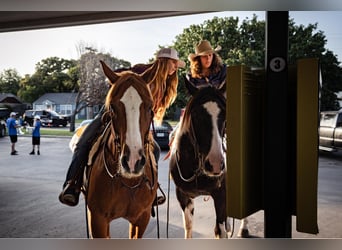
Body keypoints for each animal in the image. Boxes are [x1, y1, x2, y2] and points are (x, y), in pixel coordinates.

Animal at [83, 61, 158, 238]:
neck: (128, 182)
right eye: (112, 107)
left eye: (150, 106)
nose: (133, 161)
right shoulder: (97, 219)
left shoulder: (141, 218)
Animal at [169, 78, 248, 238]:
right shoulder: (183, 196)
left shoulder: (221, 195)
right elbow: (188, 226)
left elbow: (219, 230)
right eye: (196, 115)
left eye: (225, 114)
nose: (215, 164)